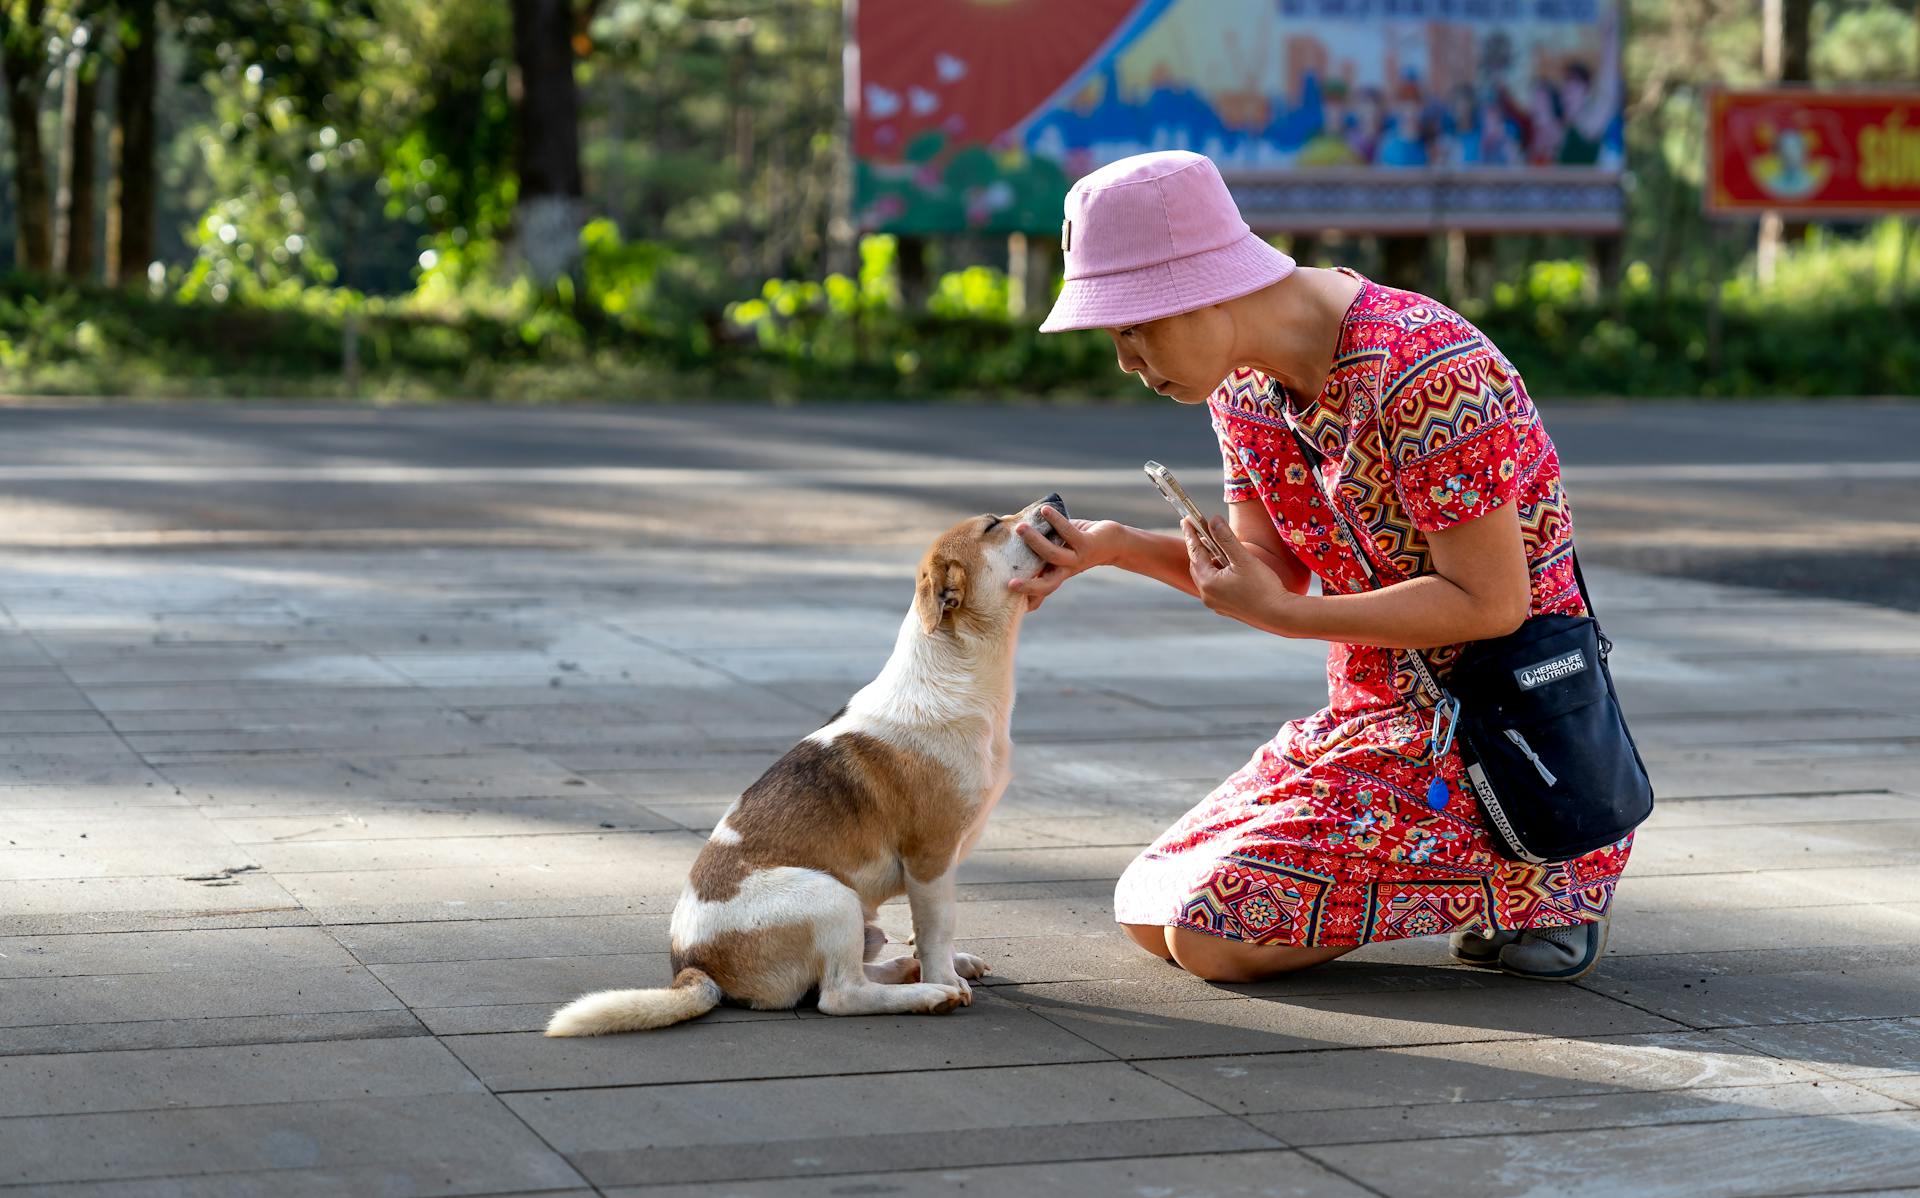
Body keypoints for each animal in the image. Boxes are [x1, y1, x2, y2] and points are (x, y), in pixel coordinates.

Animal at [549, 491, 1075, 1036]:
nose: (1054, 498)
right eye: (993, 525)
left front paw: (950, 964)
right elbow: (935, 928)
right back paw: (930, 992)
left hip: (860, 922)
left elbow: (934, 930)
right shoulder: (930, 860)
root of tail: (693, 967)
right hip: (832, 898)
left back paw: (908, 971)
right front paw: (944, 976)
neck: (956, 674)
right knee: (841, 995)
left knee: (853, 974)